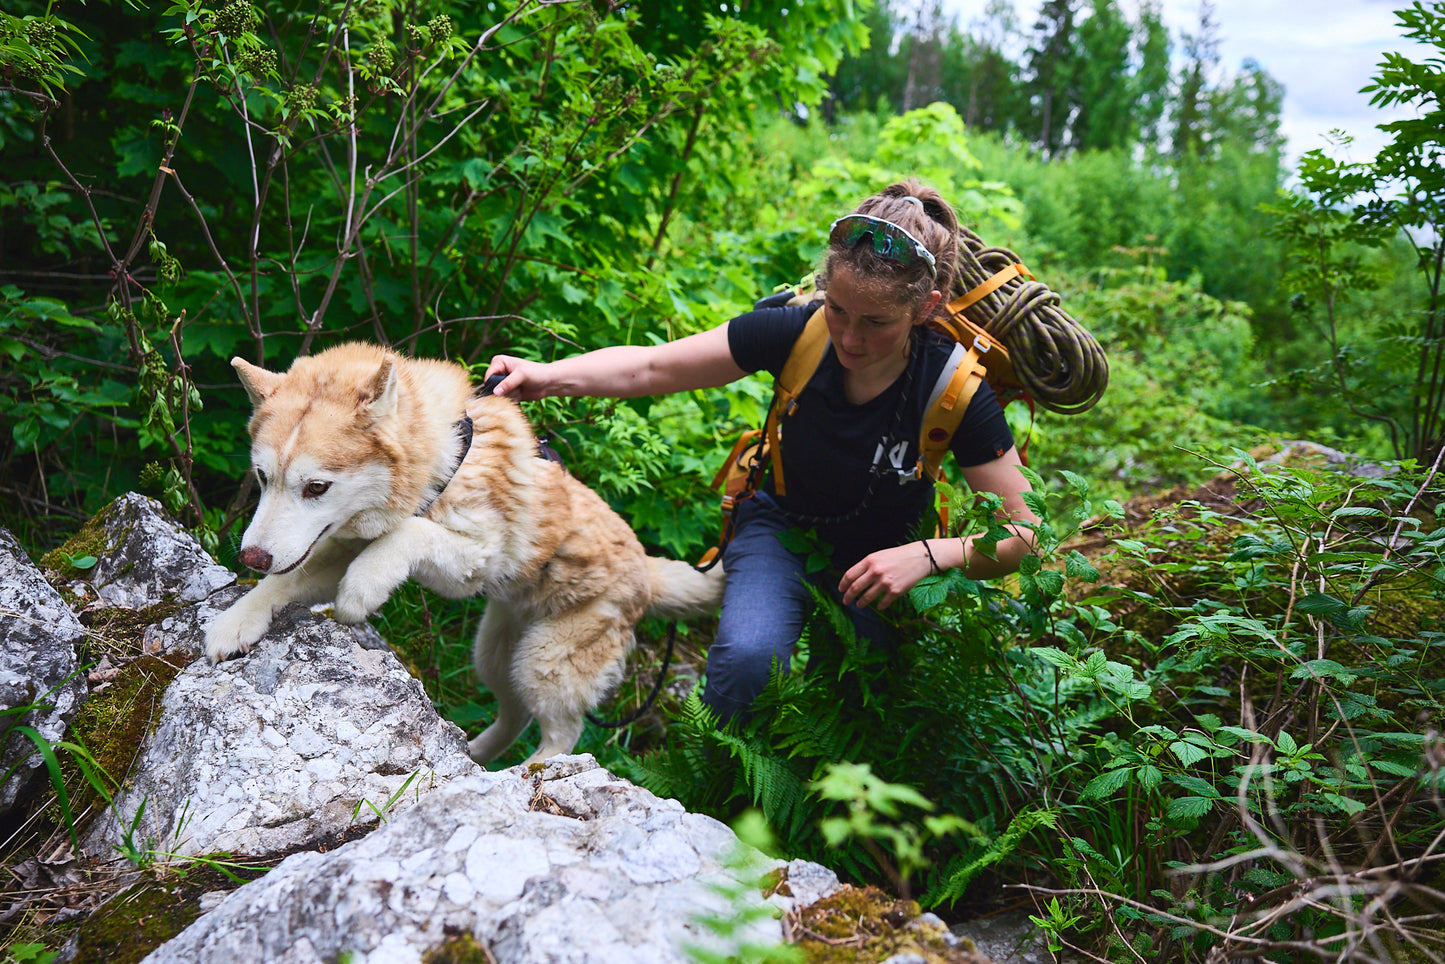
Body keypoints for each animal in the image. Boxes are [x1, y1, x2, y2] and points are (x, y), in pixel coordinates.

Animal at [203, 342, 722, 763]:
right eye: (263, 477)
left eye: (316, 487)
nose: (250, 558)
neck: (448, 461)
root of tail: (647, 571)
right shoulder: (339, 548)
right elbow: (285, 580)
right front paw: (235, 621)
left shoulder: (476, 559)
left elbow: (407, 535)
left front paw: (361, 590)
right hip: (494, 654)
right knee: (514, 717)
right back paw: (477, 757)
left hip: (545, 662)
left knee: (562, 733)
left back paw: (527, 773)